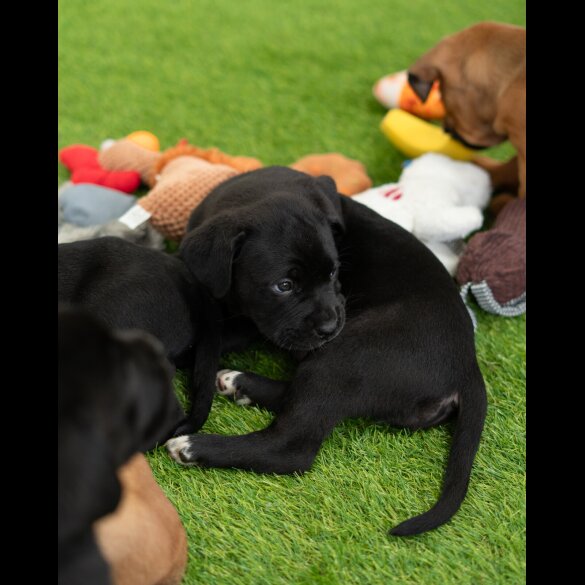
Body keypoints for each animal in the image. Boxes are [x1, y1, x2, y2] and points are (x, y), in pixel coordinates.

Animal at [167, 167, 486, 536]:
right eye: (284, 285)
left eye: (334, 271)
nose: (331, 326)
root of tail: (467, 367)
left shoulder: (255, 323)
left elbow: (215, 333)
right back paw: (238, 382)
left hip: (345, 356)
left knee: (291, 446)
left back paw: (194, 446)